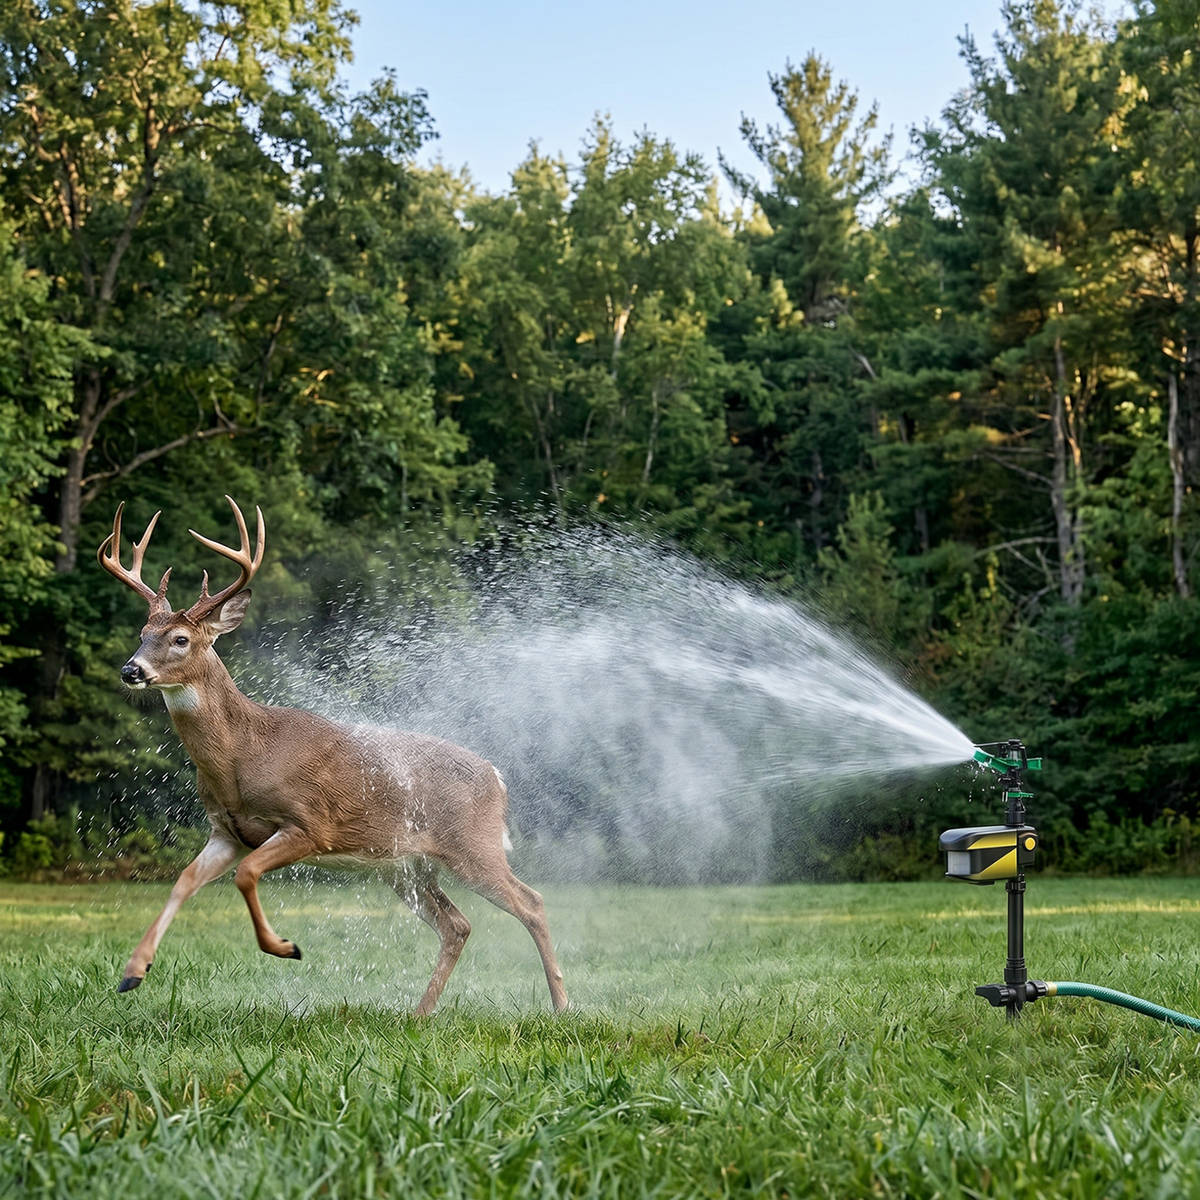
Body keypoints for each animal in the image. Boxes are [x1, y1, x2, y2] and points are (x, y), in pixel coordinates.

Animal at [97, 496, 568, 1016]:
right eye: (143, 632)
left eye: (180, 639)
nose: (131, 670)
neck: (243, 755)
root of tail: (498, 777)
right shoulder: (225, 831)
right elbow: (183, 881)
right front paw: (133, 972)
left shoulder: (310, 823)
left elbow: (246, 874)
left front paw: (284, 947)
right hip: (405, 865)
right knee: (457, 924)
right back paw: (420, 1014)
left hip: (472, 845)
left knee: (531, 903)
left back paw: (562, 1005)